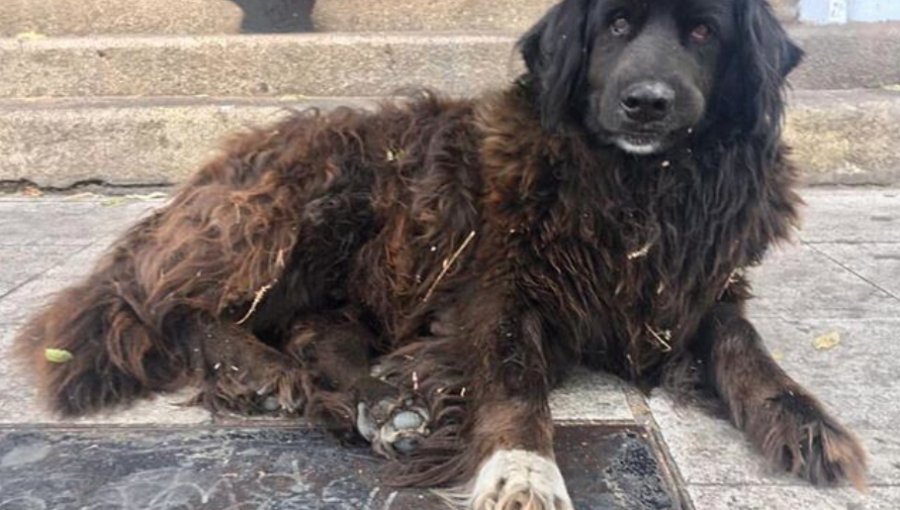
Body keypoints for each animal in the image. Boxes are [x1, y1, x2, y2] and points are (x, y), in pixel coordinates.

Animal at [17, 0, 868, 506]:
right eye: (616, 27)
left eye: (702, 32)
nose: (648, 103)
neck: (635, 186)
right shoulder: (500, 290)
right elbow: (516, 382)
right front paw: (521, 470)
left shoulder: (692, 293)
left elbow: (744, 347)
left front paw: (803, 418)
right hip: (320, 197)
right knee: (170, 312)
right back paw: (262, 372)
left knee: (313, 327)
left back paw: (384, 399)